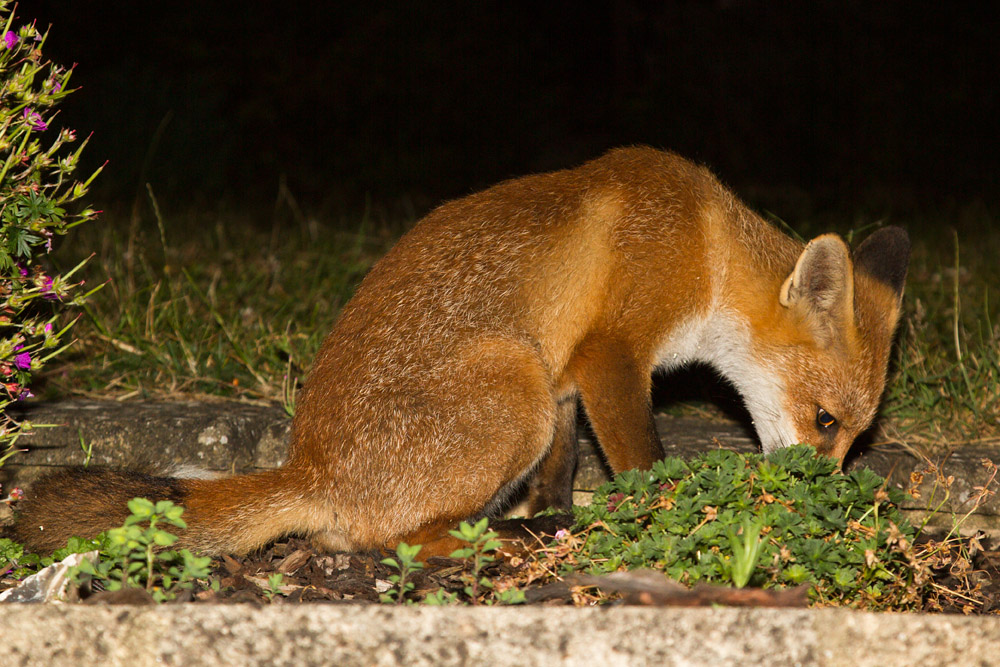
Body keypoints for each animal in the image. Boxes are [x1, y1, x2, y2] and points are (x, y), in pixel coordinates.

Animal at [12, 147, 909, 558]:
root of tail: (313, 468)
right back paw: (492, 540)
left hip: (527, 381)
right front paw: (672, 516)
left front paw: (557, 510)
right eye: (824, 420)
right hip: (511, 383)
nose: (816, 503)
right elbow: (643, 461)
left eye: (851, 435)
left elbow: (561, 469)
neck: (707, 248)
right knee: (376, 539)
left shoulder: (564, 373)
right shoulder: (610, 352)